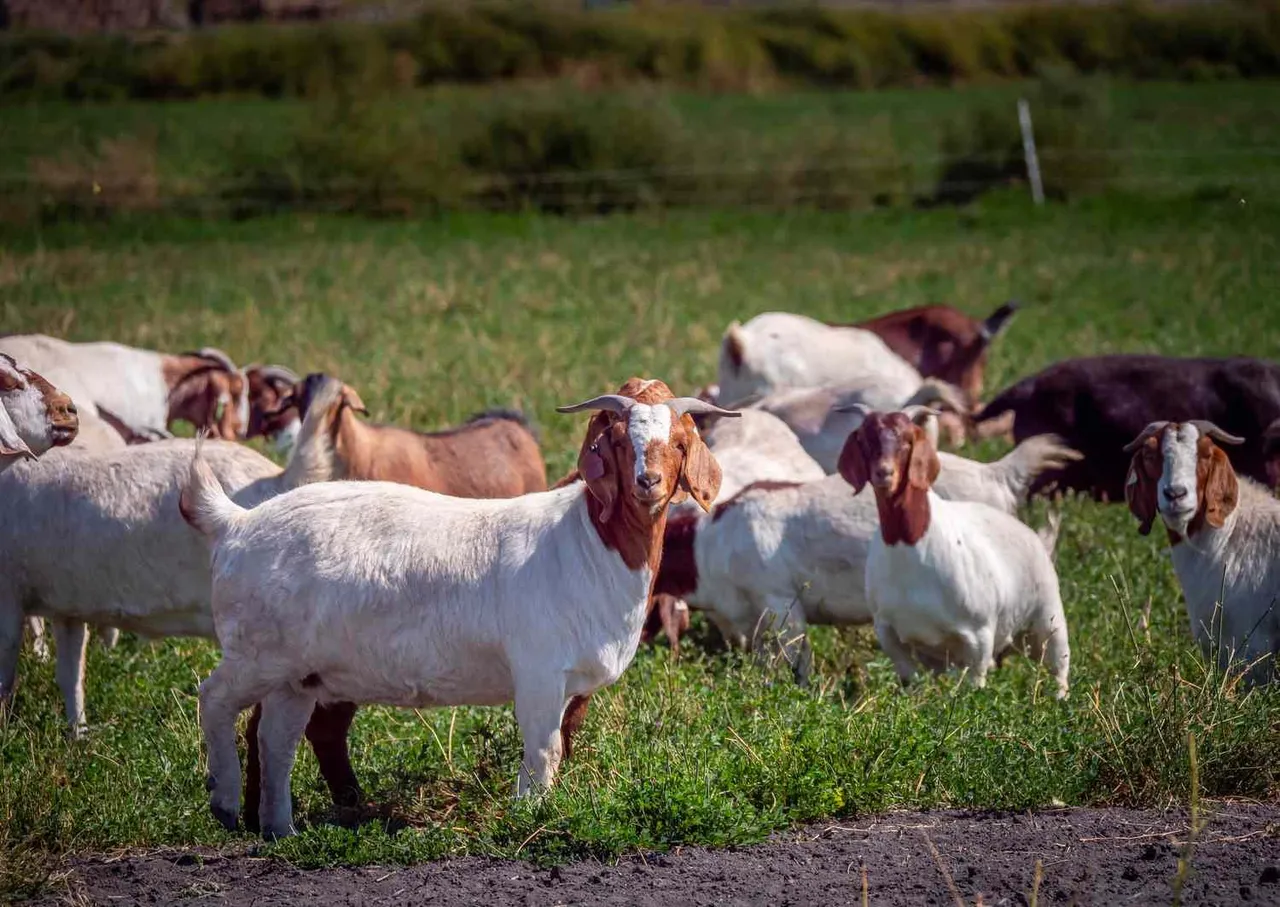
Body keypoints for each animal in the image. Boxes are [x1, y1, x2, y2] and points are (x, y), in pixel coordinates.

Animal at [182, 377, 735, 838]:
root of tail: (236, 522)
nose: (649, 482)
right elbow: (543, 749)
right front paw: (528, 817)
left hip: (298, 673)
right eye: (620, 442)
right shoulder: (538, 669)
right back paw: (225, 802)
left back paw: (281, 831)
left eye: (680, 443)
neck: (587, 543)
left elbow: (559, 748)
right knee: (215, 698)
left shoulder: (569, 683)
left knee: (276, 738)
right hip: (256, 651)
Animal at [842, 409, 1069, 697]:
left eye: (907, 442)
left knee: (1059, 664)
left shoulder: (979, 635)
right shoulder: (889, 633)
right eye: (865, 440)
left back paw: (1060, 698)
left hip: (1048, 616)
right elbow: (910, 682)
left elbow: (976, 685)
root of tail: (1036, 538)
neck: (910, 548)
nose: (884, 473)